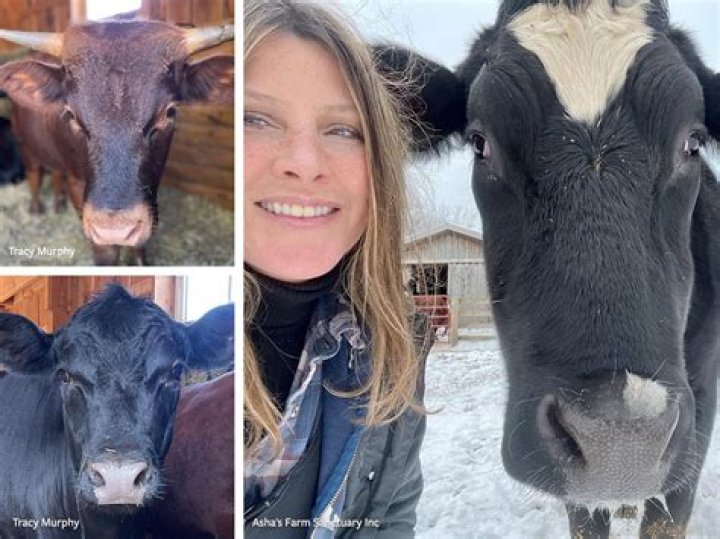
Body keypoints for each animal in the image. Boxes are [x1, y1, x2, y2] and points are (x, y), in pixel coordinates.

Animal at [0, 21, 234, 265]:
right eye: (71, 114)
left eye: (169, 112)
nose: (115, 229)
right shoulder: (77, 184)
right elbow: (106, 251)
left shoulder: (148, 194)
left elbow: (140, 242)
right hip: (26, 148)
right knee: (35, 175)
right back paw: (36, 209)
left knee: (56, 172)